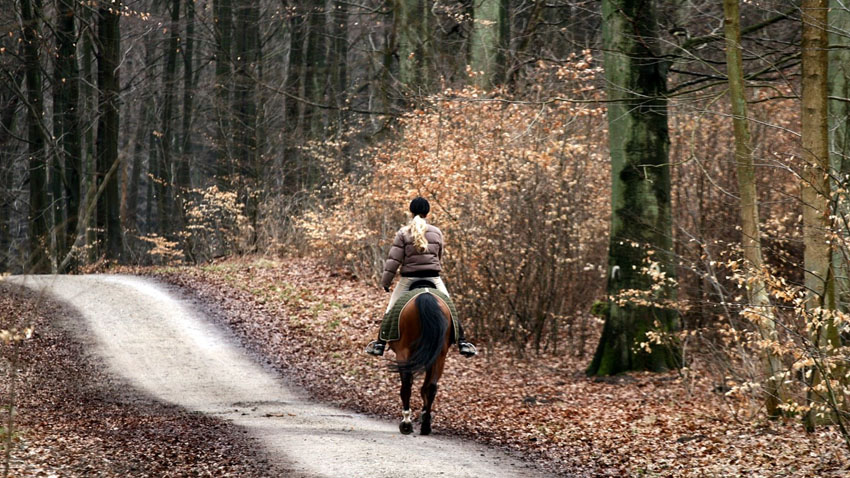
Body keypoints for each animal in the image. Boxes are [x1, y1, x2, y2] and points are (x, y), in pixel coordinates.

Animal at [386, 282, 450, 436]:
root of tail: (426, 297)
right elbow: (425, 388)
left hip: (403, 352)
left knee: (406, 385)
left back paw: (406, 423)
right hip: (439, 355)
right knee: (431, 387)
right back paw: (425, 426)